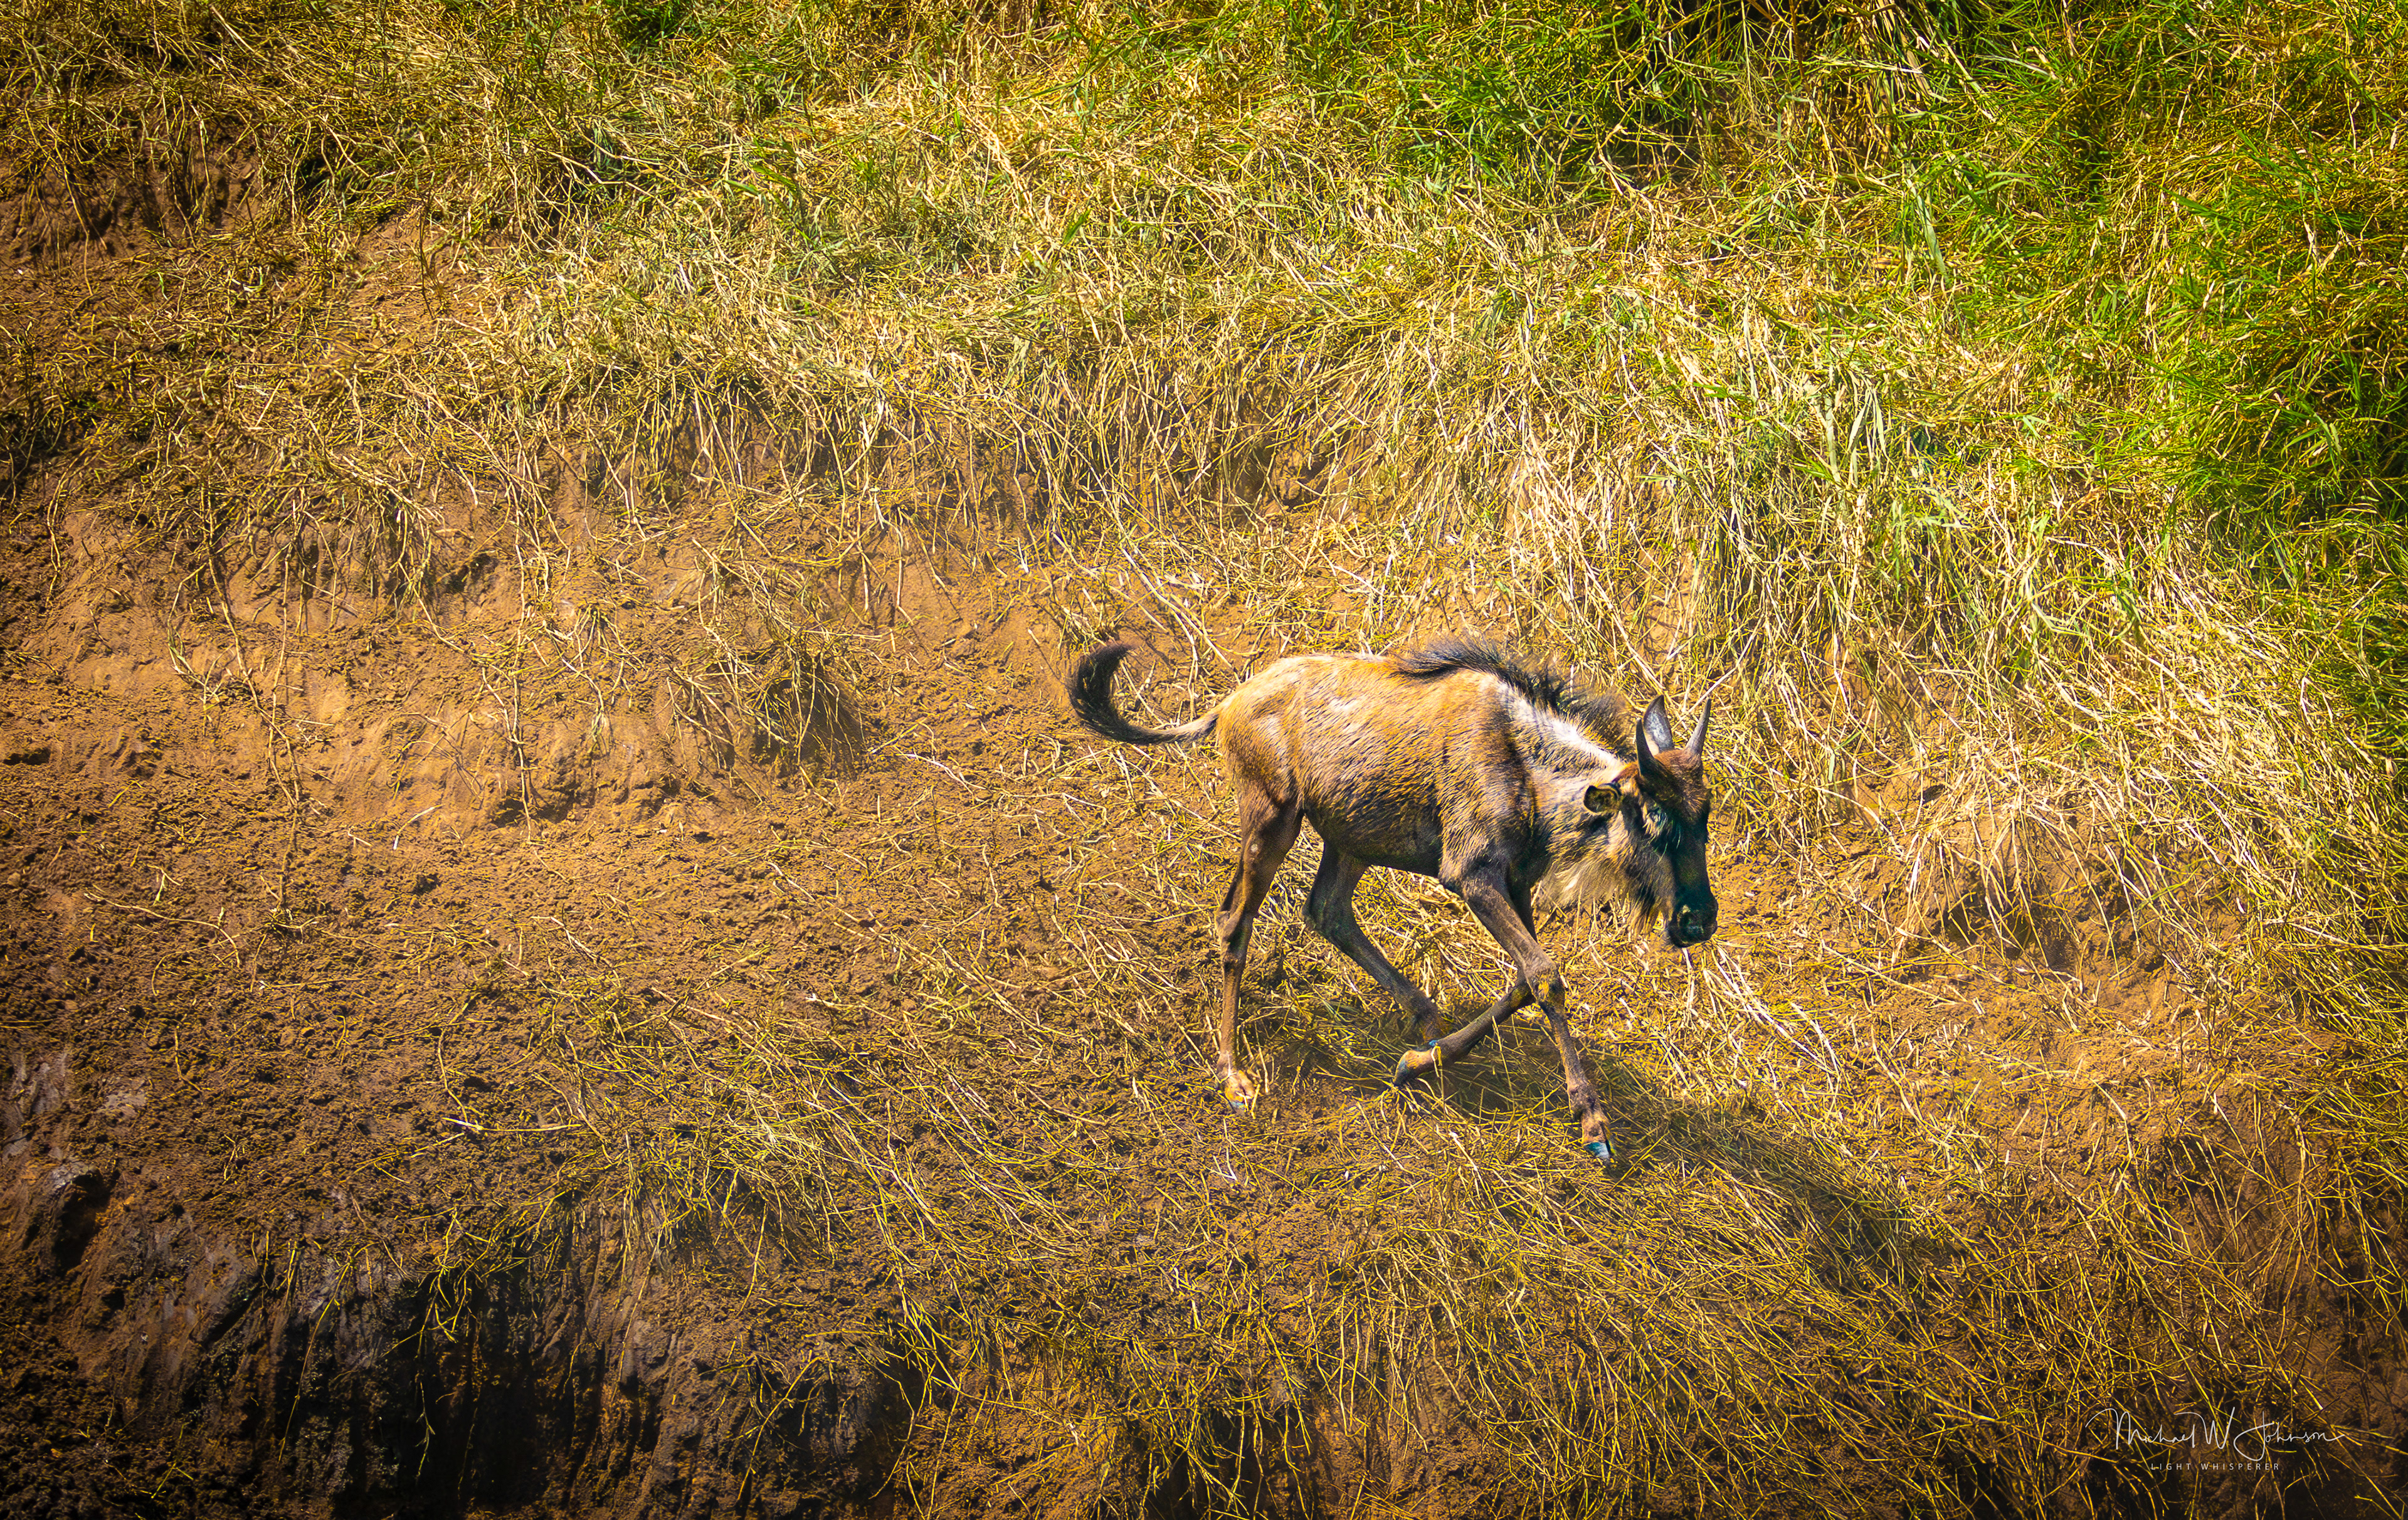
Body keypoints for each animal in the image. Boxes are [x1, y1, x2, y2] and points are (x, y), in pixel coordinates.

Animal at [1069, 635, 1717, 1158]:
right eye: (1653, 819)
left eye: (1706, 817)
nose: (1699, 921)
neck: (1527, 768)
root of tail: (1229, 703)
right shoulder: (1472, 876)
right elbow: (1544, 975)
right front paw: (1593, 1123)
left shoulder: (1515, 884)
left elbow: (1522, 982)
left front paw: (1421, 1062)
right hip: (1273, 821)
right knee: (1235, 921)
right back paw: (1233, 1077)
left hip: (1349, 839)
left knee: (1327, 911)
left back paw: (1422, 1014)